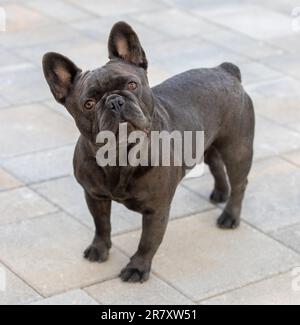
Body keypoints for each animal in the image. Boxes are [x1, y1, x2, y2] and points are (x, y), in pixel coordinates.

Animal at [42, 21, 253, 282]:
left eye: (132, 85)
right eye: (88, 104)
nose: (114, 101)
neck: (120, 155)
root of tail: (225, 70)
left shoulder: (156, 209)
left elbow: (148, 241)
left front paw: (137, 268)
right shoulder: (95, 196)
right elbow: (102, 225)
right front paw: (99, 249)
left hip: (237, 149)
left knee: (240, 183)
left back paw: (230, 215)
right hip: (207, 144)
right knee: (215, 165)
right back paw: (220, 193)